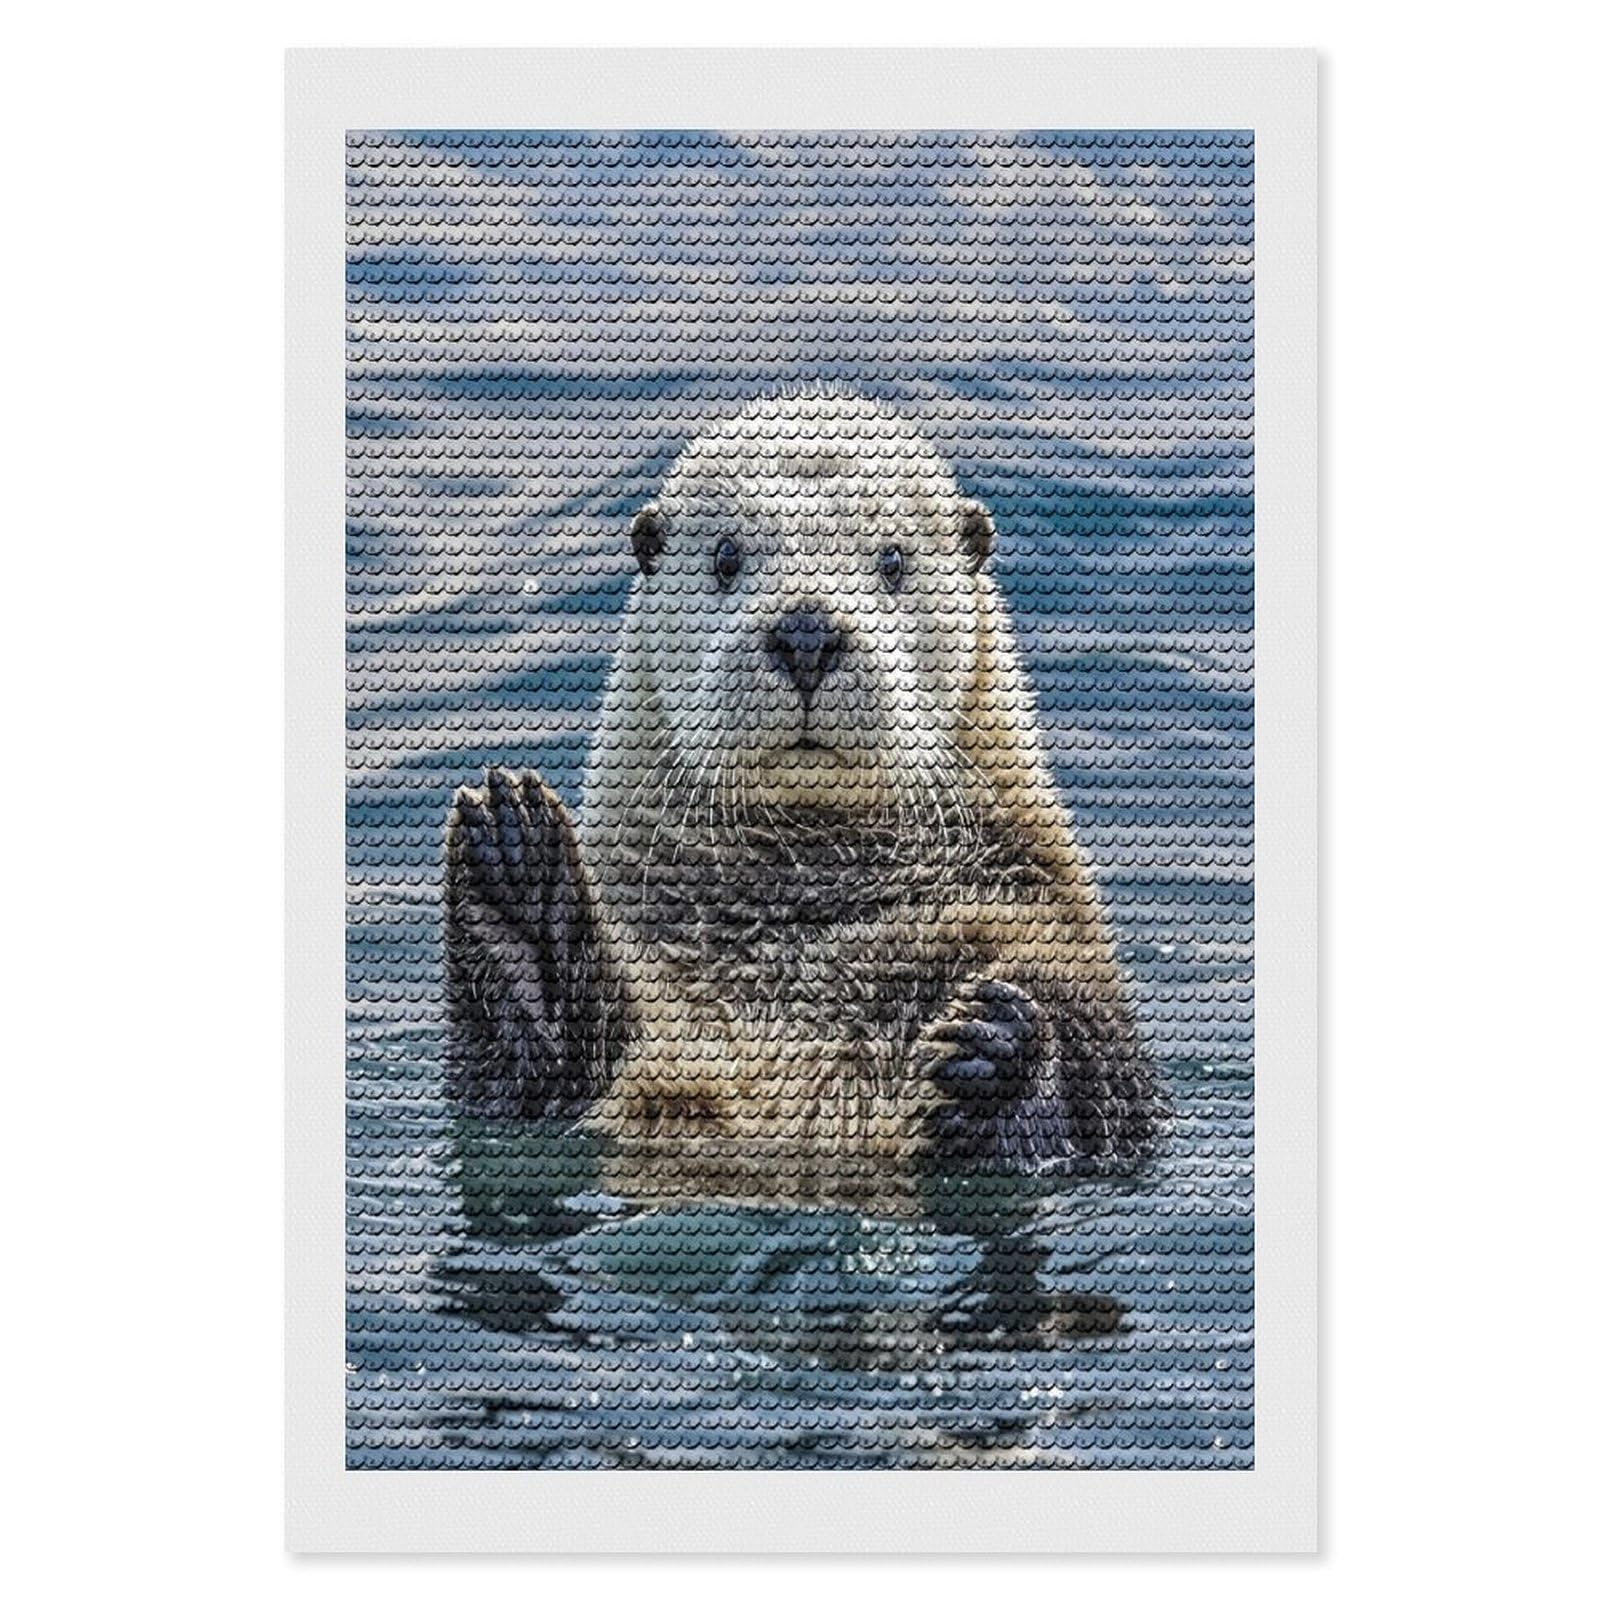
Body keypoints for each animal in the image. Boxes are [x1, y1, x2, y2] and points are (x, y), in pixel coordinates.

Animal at [444, 392, 1165, 1206]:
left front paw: (996, 1043)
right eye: (726, 557)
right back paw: (517, 880)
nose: (807, 633)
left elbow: (1103, 1094)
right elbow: (521, 1088)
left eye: (893, 560)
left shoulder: (1050, 927)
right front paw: (513, 872)